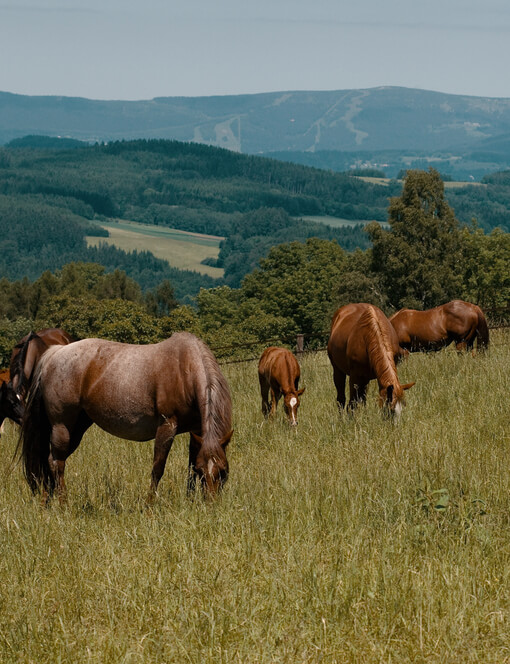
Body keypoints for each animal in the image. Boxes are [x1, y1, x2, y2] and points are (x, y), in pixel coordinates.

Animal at [17, 334, 232, 500]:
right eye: (203, 472)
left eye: (223, 471)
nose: (211, 504)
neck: (184, 369)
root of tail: (54, 353)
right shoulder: (167, 426)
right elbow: (157, 469)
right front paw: (149, 506)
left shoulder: (196, 431)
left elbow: (190, 465)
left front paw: (190, 500)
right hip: (62, 426)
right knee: (56, 463)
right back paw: (63, 504)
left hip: (77, 428)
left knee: (48, 462)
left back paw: (47, 502)